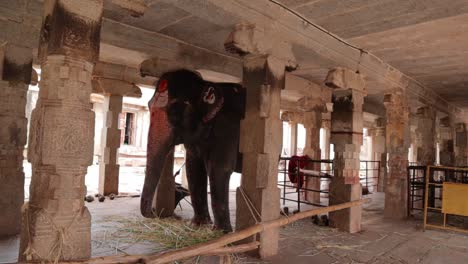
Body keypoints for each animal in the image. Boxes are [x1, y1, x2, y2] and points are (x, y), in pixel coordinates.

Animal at [141, 69, 247, 232]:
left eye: (174, 112)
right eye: (148, 105)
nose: (153, 213)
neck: (206, 83)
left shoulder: (228, 127)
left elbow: (219, 168)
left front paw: (221, 232)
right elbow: (193, 168)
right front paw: (198, 225)